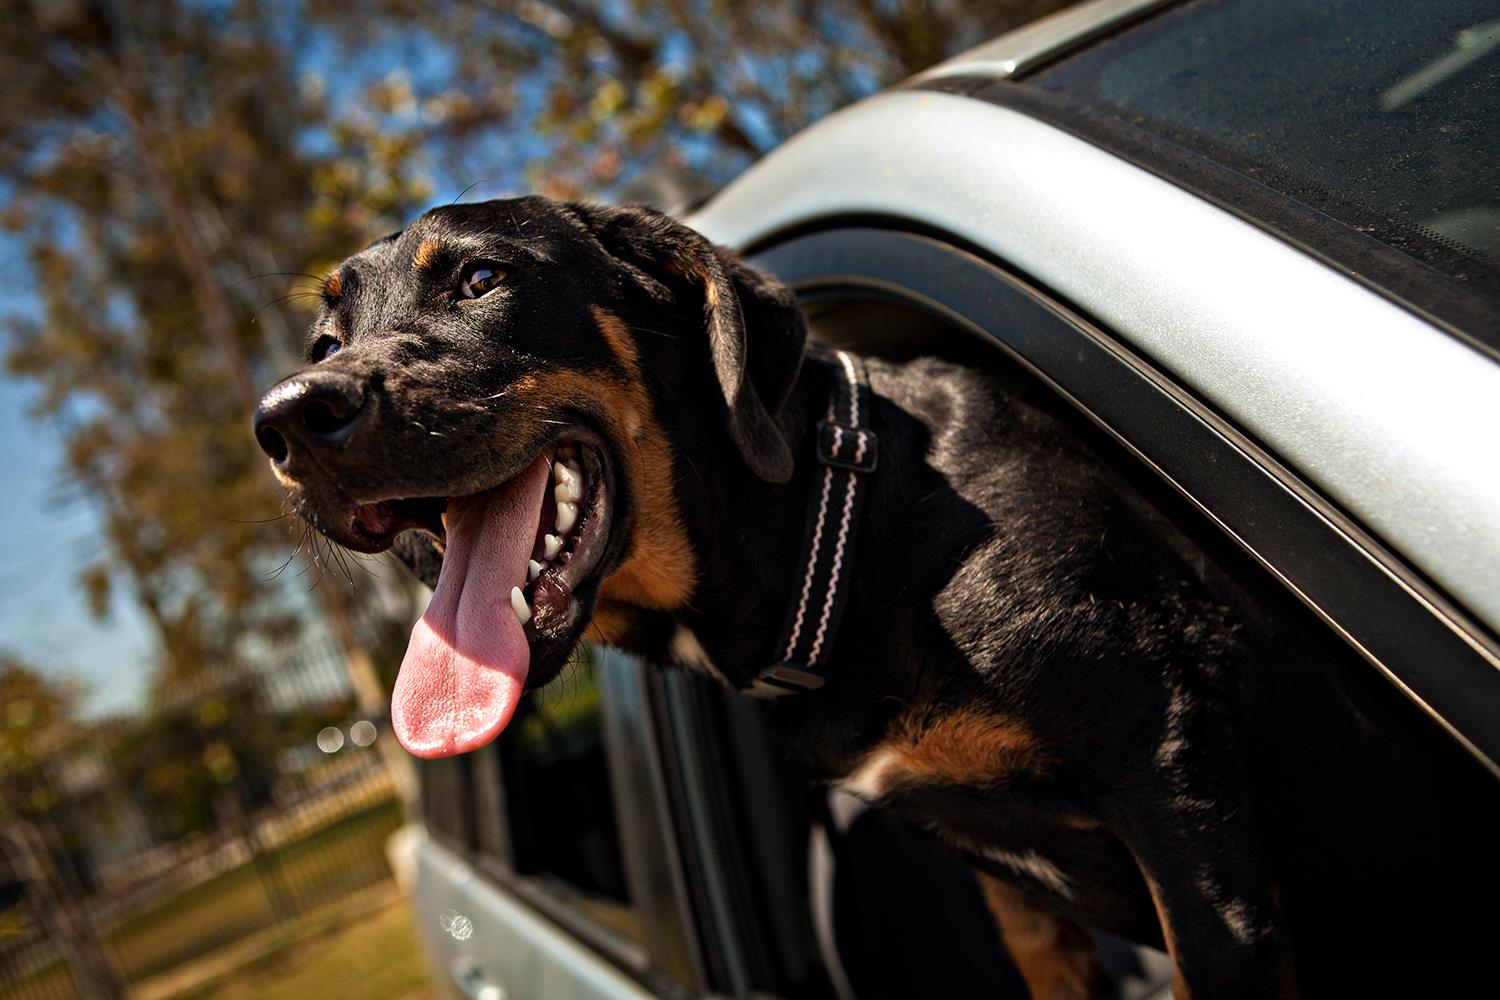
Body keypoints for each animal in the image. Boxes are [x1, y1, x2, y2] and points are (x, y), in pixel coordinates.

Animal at [255, 197, 1500, 1000]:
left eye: (478, 280)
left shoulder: (1170, 777)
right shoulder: (1024, 898)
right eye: (324, 334)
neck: (836, 538)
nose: (285, 417)